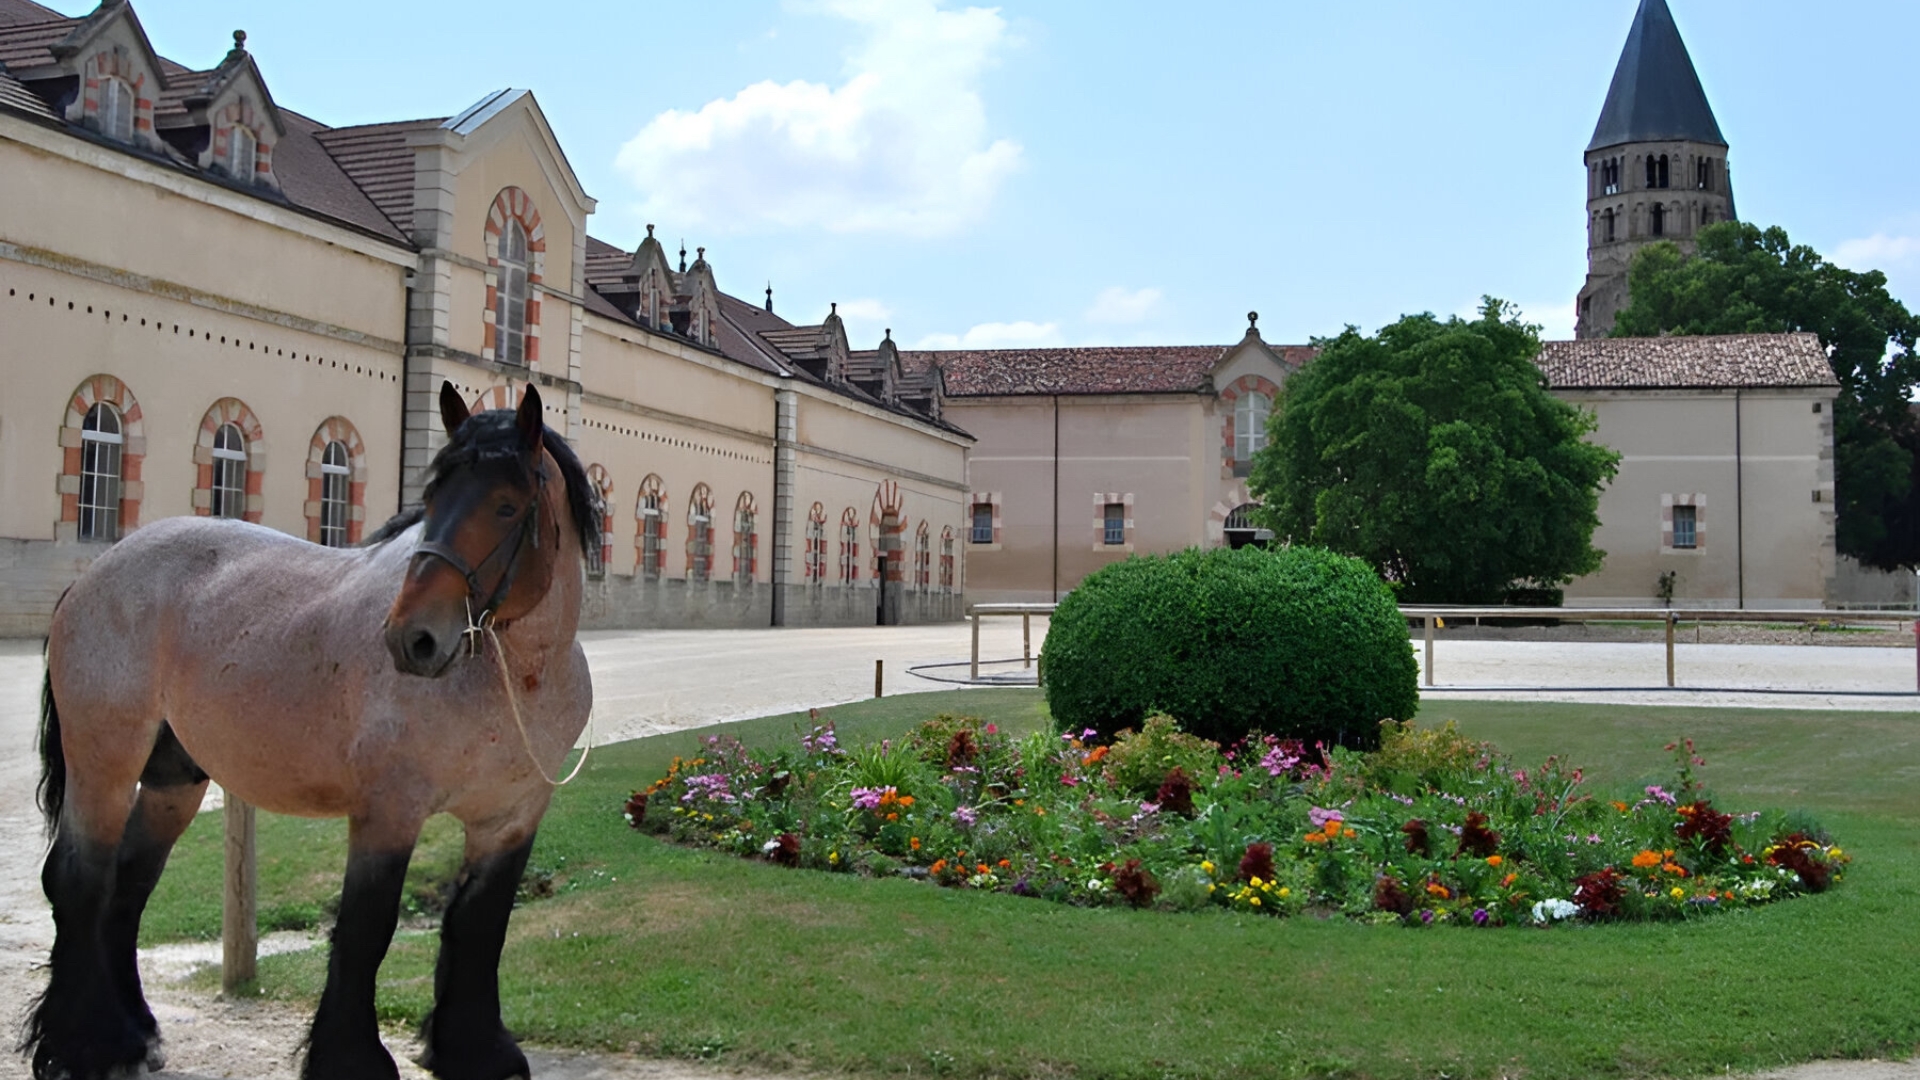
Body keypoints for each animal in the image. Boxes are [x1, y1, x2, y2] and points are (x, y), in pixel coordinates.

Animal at [25, 381, 598, 1080]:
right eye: (434, 500)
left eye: (507, 505)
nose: (413, 638)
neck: (514, 675)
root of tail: (95, 573)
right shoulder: (389, 812)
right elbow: (366, 927)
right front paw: (351, 1058)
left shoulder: (510, 821)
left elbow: (480, 926)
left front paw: (477, 1049)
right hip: (104, 765)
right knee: (81, 881)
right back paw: (83, 1047)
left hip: (172, 780)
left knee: (127, 888)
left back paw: (135, 1035)